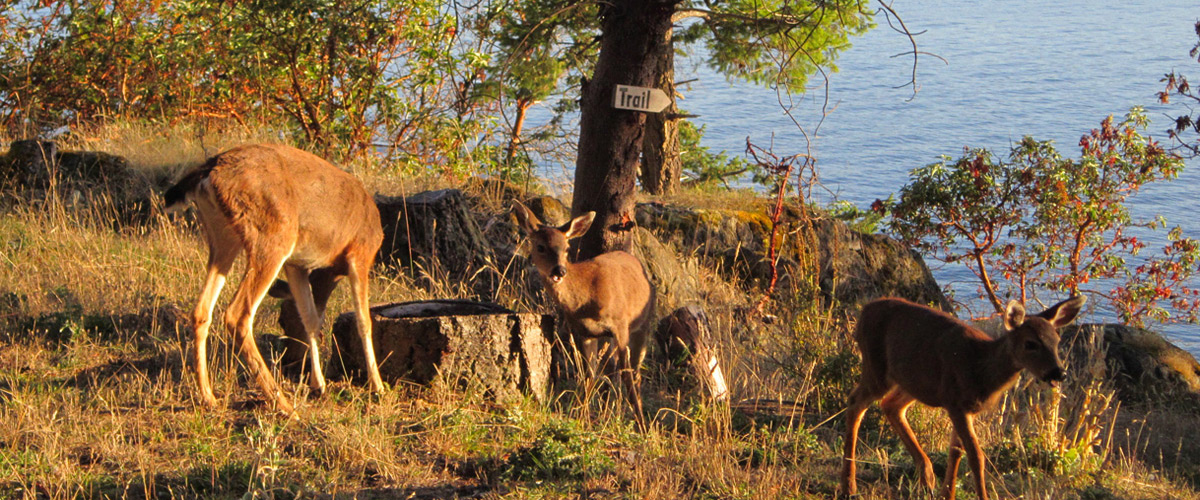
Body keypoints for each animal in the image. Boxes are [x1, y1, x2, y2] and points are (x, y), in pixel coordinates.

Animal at [164, 143, 386, 415]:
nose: (291, 354)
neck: (332, 268)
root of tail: (210, 170)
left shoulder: (297, 265)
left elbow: (311, 319)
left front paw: (319, 385)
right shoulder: (361, 252)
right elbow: (363, 321)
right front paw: (377, 386)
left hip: (222, 237)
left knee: (201, 310)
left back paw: (209, 397)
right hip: (272, 236)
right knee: (237, 314)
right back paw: (283, 404)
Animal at [512, 201, 656, 423]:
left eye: (567, 248)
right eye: (540, 247)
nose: (559, 270)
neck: (586, 297)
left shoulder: (620, 323)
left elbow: (627, 376)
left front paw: (642, 425)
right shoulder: (585, 332)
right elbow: (589, 375)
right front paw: (582, 417)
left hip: (642, 324)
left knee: (635, 372)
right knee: (610, 368)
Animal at [841, 295, 1086, 500]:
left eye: (1056, 341)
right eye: (1030, 343)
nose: (1059, 372)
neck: (982, 369)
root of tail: (864, 311)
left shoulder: (967, 408)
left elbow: (956, 452)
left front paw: (946, 494)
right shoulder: (955, 401)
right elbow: (976, 457)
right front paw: (982, 496)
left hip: (913, 382)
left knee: (891, 405)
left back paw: (927, 479)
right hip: (876, 368)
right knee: (855, 402)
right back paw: (849, 486)